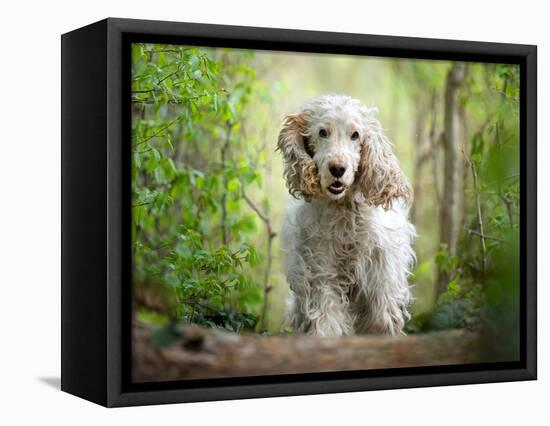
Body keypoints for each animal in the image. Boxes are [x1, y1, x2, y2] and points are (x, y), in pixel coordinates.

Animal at [278, 93, 416, 336]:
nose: (337, 168)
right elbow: (328, 319)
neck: (344, 211)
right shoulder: (322, 273)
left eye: (355, 135)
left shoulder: (380, 278)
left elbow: (381, 320)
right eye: (322, 132)